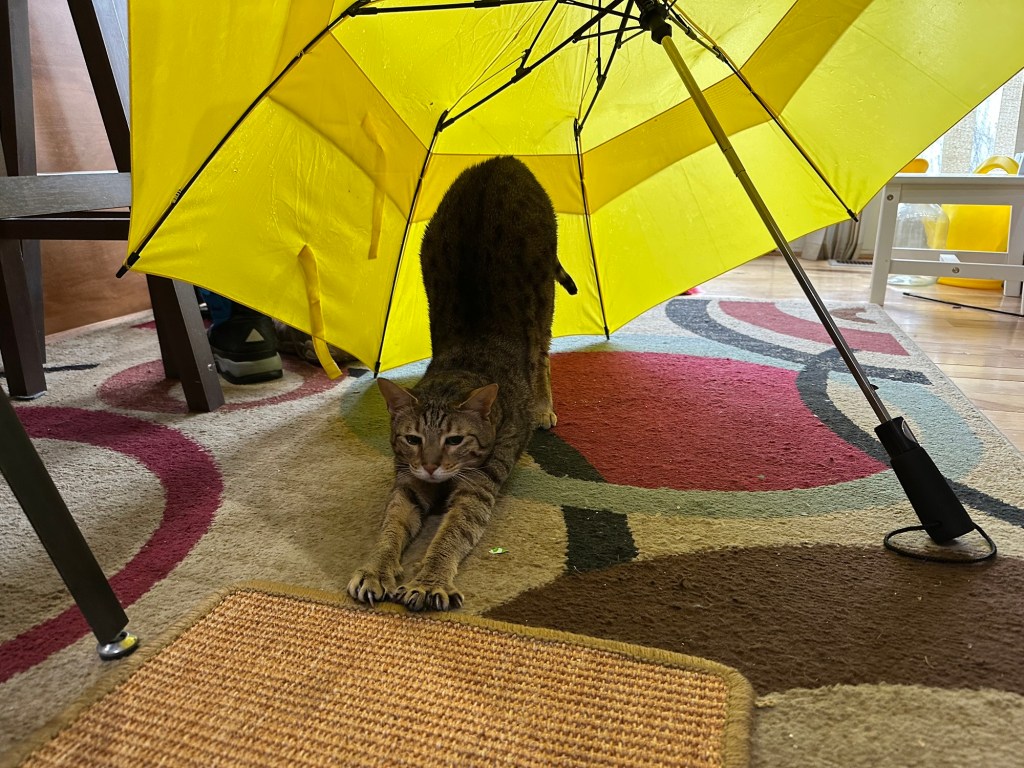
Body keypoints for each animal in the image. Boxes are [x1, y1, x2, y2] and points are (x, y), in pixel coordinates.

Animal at [348, 155, 577, 611]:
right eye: (413, 439)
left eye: (455, 440)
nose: (432, 464)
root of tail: (503, 161)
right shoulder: (408, 482)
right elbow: (390, 527)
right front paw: (377, 569)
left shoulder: (479, 486)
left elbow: (452, 534)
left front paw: (429, 580)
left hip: (542, 297)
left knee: (540, 354)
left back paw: (542, 405)